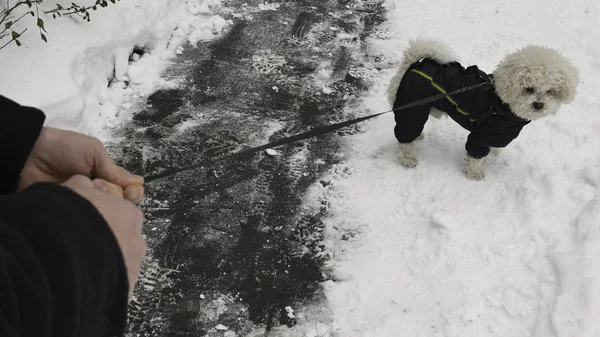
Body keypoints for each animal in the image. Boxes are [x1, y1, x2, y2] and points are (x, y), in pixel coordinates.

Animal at [386, 38, 580, 180]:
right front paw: (475, 173)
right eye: (528, 89)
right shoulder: (481, 134)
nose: (539, 105)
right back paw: (408, 158)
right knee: (404, 138)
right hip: (412, 110)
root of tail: (411, 65)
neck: (502, 104)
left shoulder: (498, 134)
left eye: (550, 91)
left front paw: (495, 153)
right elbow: (475, 156)